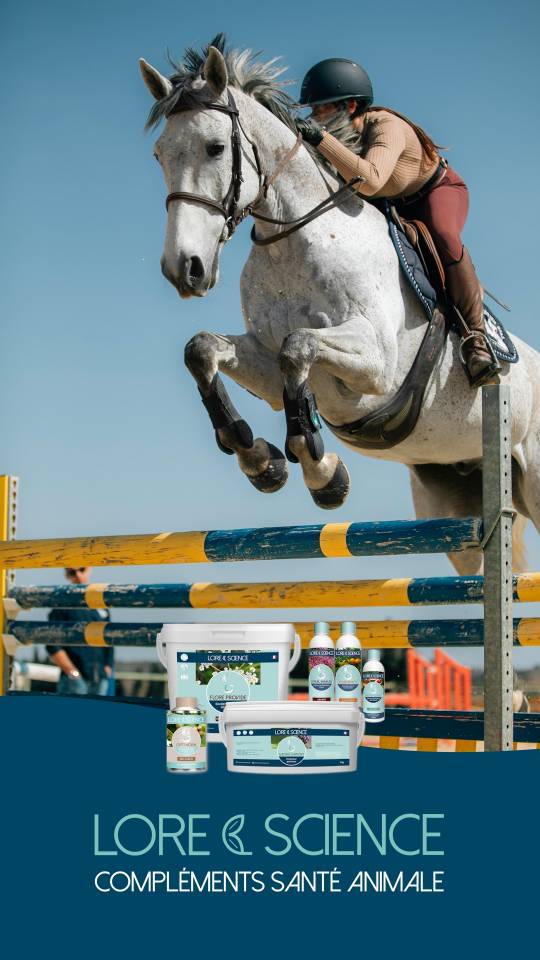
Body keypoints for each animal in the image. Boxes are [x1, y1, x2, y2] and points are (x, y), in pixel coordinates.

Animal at [139, 37, 540, 578]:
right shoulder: (265, 363)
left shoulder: (377, 366)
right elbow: (203, 350)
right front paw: (260, 459)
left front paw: (321, 471)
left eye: (215, 147)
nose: (185, 268)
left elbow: (297, 346)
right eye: (160, 154)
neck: (294, 240)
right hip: (452, 497)